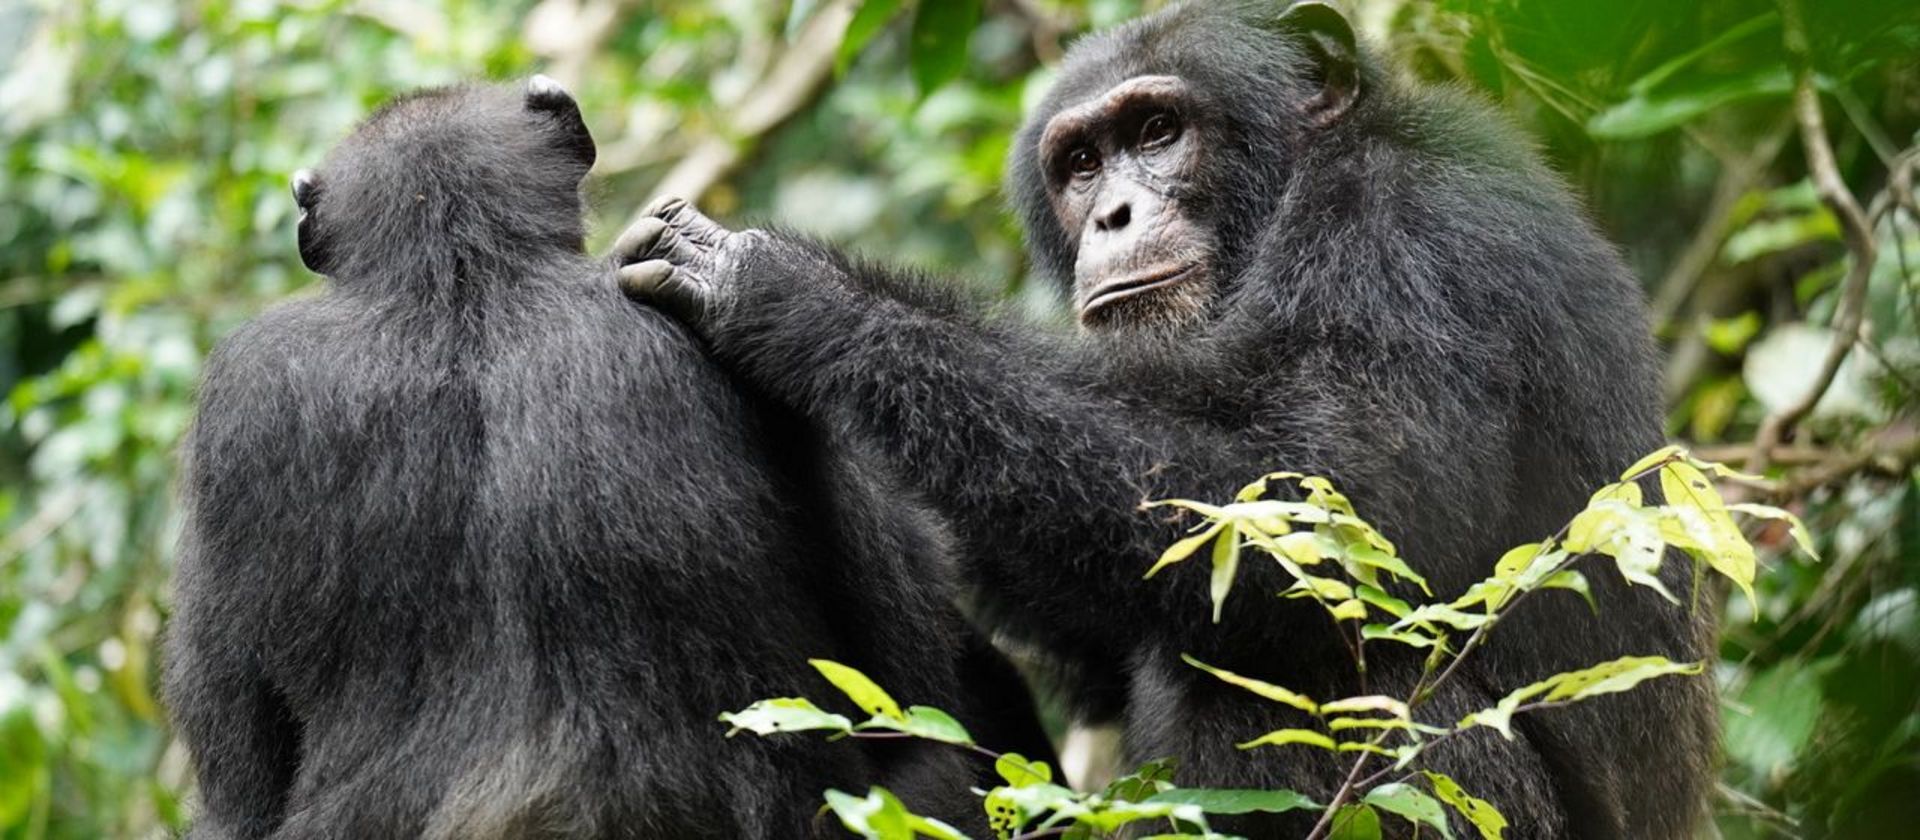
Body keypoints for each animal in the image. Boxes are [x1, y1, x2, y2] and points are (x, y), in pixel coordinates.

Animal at [618, 3, 1728, 836]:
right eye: (1079, 163)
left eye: (1157, 133)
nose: (1113, 213)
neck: (1288, 192)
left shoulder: (1413, 234)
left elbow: (1336, 492)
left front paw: (792, 290)